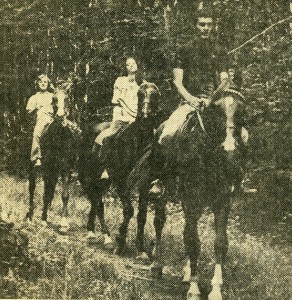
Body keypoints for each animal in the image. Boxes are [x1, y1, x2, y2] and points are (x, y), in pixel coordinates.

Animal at [26, 79, 81, 232]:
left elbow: (64, 195)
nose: (61, 116)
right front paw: (43, 220)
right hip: (34, 167)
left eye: (67, 98)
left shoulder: (65, 167)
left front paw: (63, 223)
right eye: (54, 99)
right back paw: (30, 216)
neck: (60, 137)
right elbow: (46, 194)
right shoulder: (48, 167)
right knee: (32, 188)